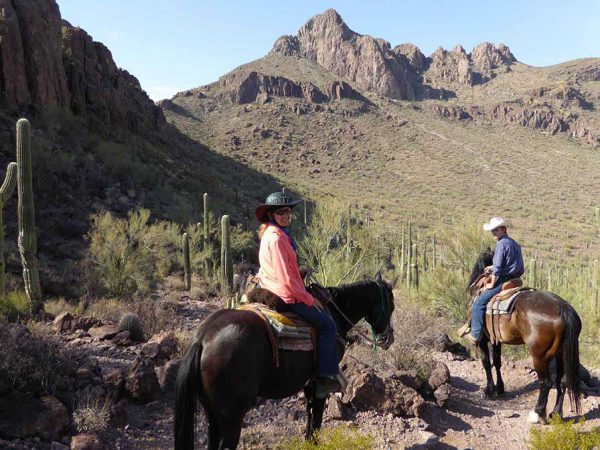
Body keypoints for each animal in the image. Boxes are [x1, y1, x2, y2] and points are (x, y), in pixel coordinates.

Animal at [176, 276, 396, 448]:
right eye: (391, 306)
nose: (388, 339)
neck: (335, 313)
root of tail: (203, 338)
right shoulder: (320, 383)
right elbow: (316, 418)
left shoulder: (309, 383)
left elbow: (309, 417)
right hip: (232, 416)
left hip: (212, 415)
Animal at [468, 248, 580, 424]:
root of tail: (563, 307)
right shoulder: (496, 340)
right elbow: (497, 362)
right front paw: (500, 389)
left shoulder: (483, 339)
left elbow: (486, 362)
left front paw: (489, 390)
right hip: (561, 353)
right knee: (561, 381)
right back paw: (555, 413)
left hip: (540, 356)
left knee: (545, 383)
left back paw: (537, 414)